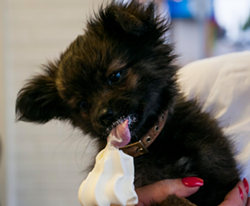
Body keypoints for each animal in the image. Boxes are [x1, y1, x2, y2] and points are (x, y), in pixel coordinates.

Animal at [15, 0, 238, 205]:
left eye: (115, 76)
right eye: (83, 104)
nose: (104, 116)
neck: (149, 143)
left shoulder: (220, 174)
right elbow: (173, 199)